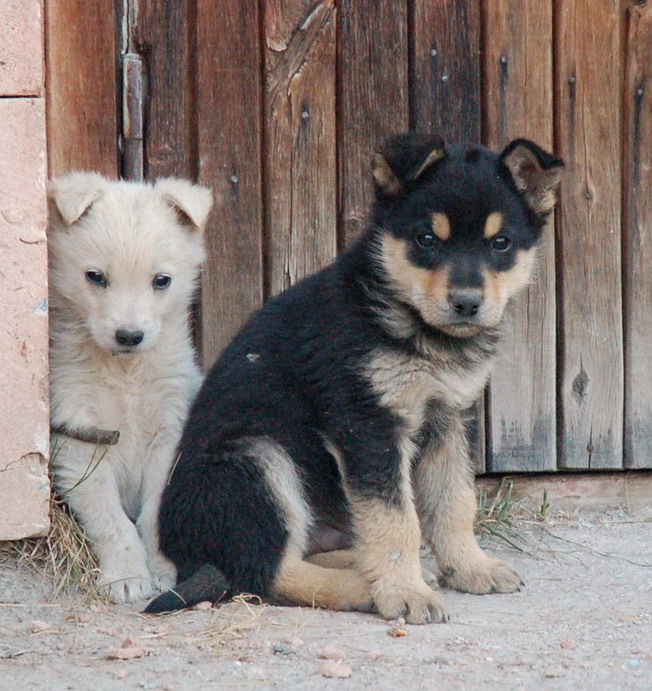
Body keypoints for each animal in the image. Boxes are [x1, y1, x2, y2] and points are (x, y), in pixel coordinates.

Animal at [48, 174, 211, 604]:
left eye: (161, 281)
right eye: (95, 277)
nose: (129, 335)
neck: (126, 373)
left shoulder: (171, 431)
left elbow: (155, 512)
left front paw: (161, 570)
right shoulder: (79, 436)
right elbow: (109, 517)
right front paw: (126, 576)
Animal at [145, 132, 564, 624]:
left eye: (501, 243)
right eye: (426, 239)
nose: (466, 303)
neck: (413, 325)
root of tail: (185, 554)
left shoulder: (447, 419)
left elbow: (453, 501)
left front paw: (469, 567)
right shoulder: (367, 421)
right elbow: (395, 517)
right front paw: (405, 592)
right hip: (256, 457)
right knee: (264, 571)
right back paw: (362, 586)